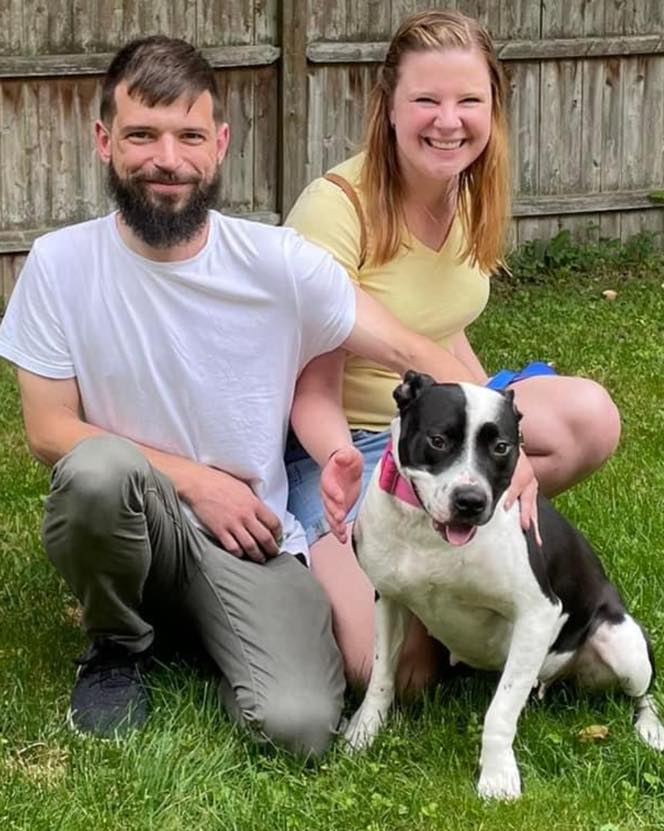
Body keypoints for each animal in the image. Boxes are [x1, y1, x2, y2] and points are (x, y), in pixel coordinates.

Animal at [348, 372, 664, 800]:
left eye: (501, 447)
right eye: (438, 440)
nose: (470, 501)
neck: (427, 535)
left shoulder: (537, 614)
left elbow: (500, 710)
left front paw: (497, 775)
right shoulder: (390, 600)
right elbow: (381, 678)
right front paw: (363, 732)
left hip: (621, 640)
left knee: (643, 693)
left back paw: (651, 730)